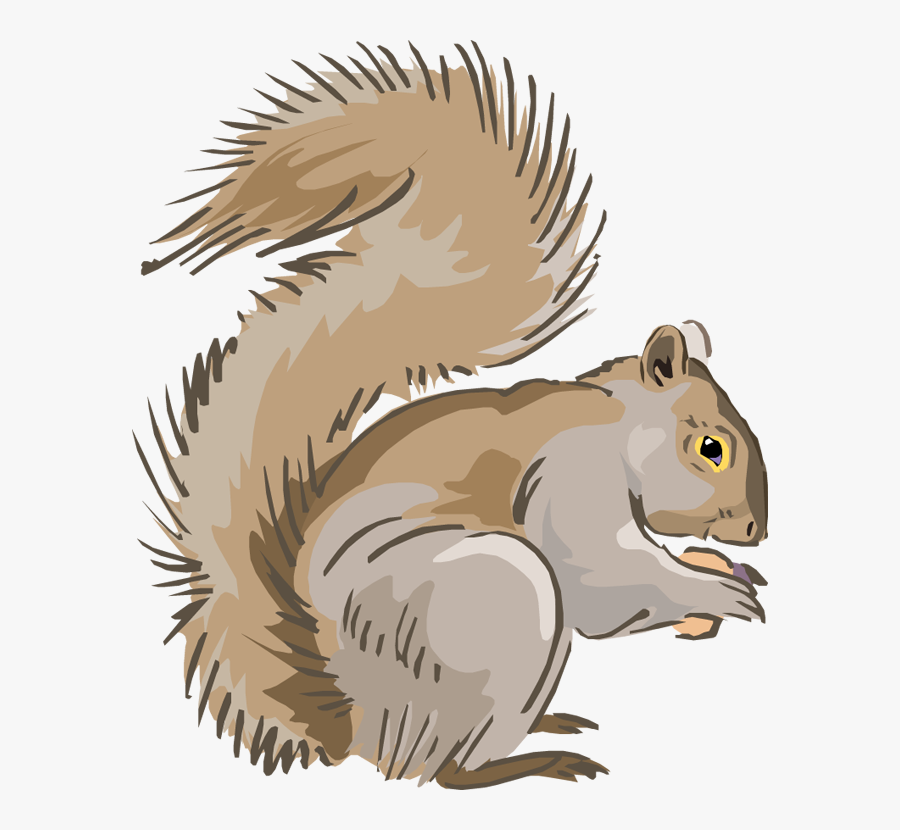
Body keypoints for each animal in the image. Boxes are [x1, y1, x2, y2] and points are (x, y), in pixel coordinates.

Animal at [136, 42, 769, 789]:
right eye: (710, 449)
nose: (756, 531)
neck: (615, 427)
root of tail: (353, 721)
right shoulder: (571, 477)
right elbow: (603, 582)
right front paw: (717, 592)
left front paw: (724, 570)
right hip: (499, 596)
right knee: (444, 772)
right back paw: (535, 761)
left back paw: (550, 724)